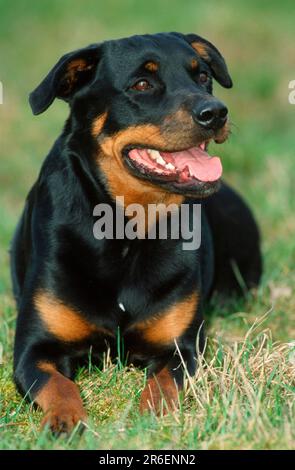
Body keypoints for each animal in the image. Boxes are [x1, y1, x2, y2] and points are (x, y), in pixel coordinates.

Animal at [10, 33, 262, 436]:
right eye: (142, 84)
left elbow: (162, 384)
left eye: (203, 76)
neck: (126, 230)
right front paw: (66, 419)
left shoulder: (180, 348)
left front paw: (151, 417)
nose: (216, 112)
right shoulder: (35, 349)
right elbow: (58, 384)